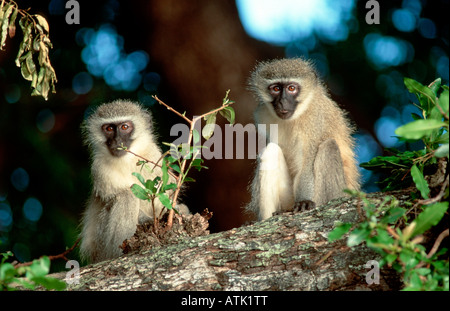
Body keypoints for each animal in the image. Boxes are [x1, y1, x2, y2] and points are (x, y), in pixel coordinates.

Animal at [80, 100, 189, 264]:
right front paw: (150, 220)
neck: (127, 160)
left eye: (125, 127)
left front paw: (177, 212)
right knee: (126, 196)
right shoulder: (99, 169)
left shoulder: (154, 157)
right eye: (109, 128)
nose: (117, 141)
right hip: (102, 245)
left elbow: (164, 196)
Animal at [244, 58, 360, 222]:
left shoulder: (314, 119)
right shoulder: (262, 115)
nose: (283, 102)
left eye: (292, 88)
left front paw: (304, 201)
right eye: (276, 89)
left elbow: (307, 162)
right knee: (271, 152)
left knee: (329, 147)